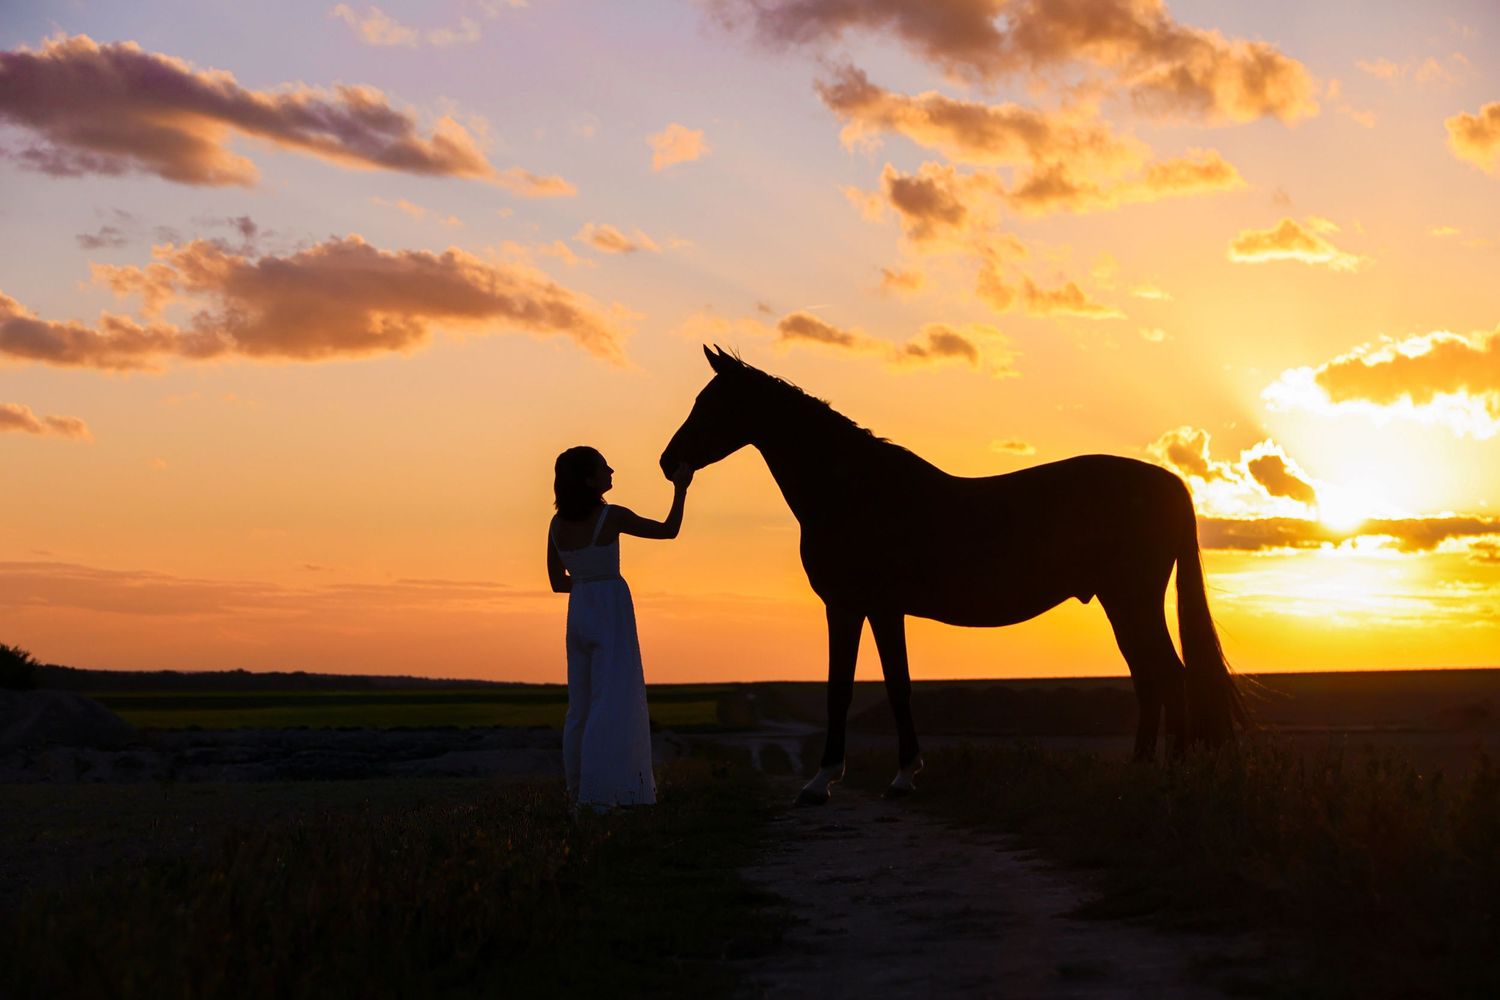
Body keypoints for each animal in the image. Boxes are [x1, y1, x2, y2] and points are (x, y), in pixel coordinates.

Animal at [660, 346, 1245, 804]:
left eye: (710, 404)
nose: (669, 463)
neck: (854, 492)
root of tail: (1168, 481)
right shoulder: (879, 609)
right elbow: (894, 685)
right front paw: (901, 775)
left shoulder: (852, 606)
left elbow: (844, 689)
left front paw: (823, 782)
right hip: (1120, 601)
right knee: (1150, 678)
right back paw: (1141, 771)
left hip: (1132, 598)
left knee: (1168, 675)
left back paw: (1172, 774)